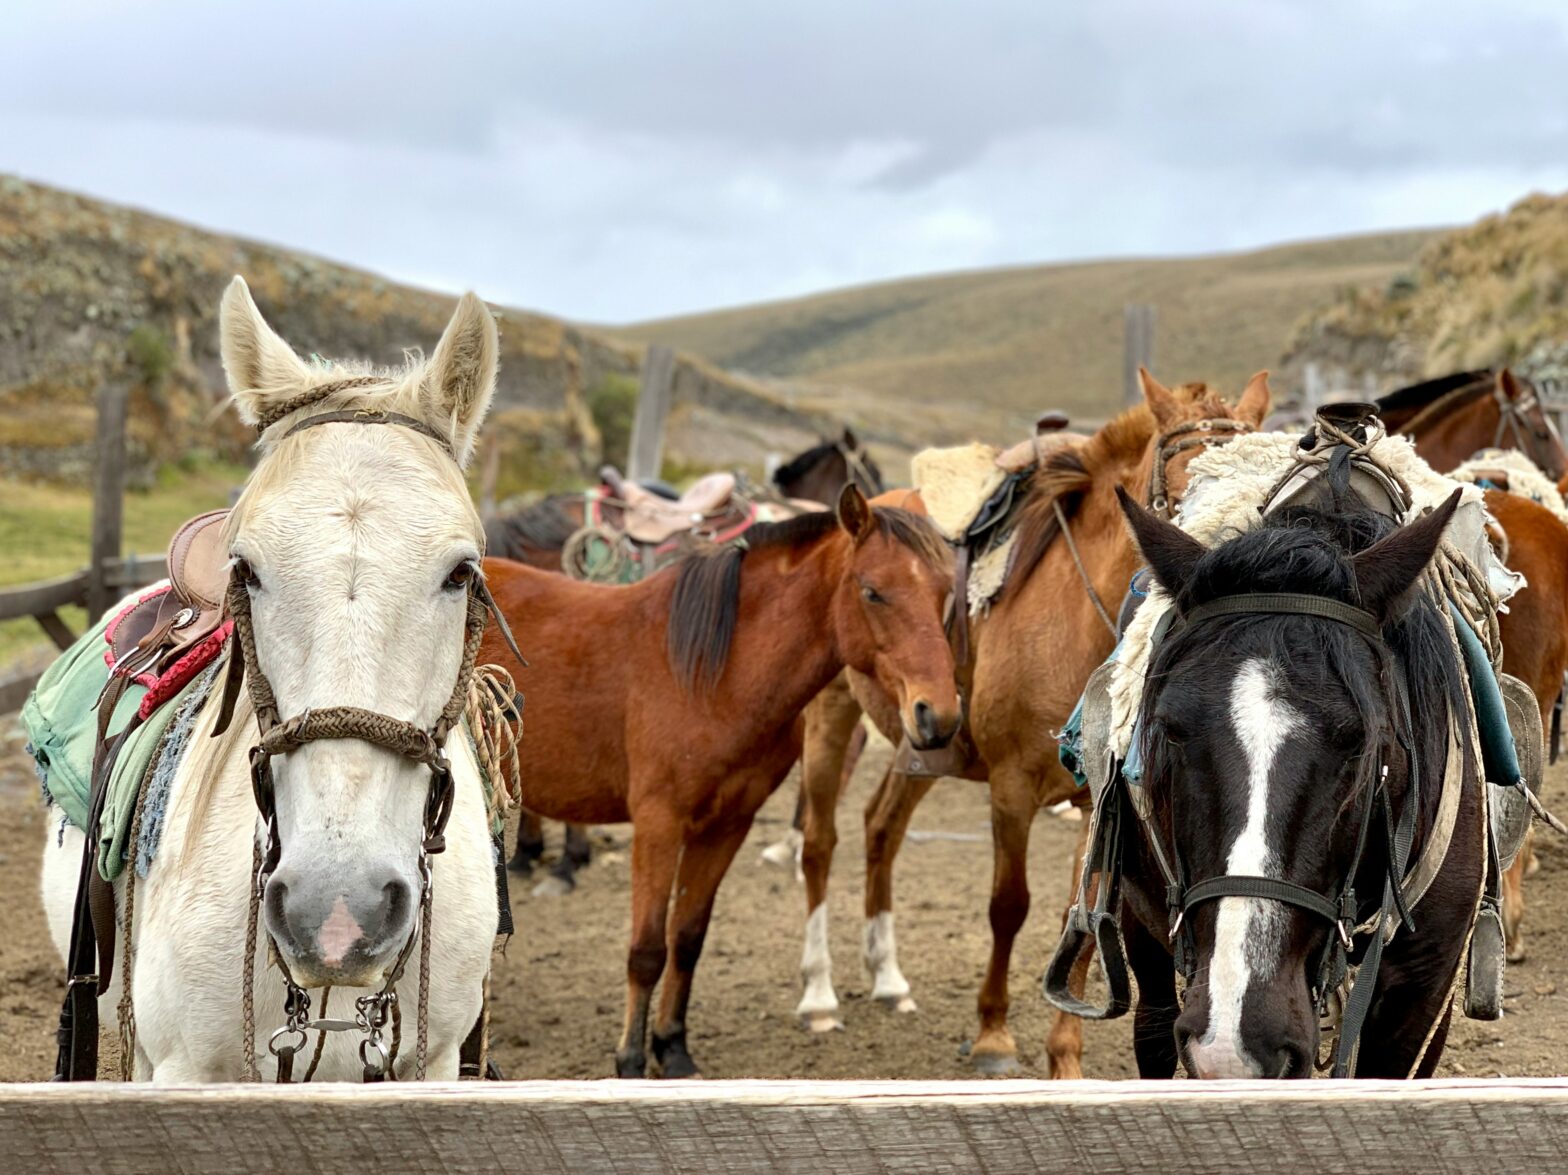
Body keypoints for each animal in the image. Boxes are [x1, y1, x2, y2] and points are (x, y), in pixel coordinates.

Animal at [476, 483, 953, 1073]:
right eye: (873, 592)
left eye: (945, 592)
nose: (938, 717)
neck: (713, 675)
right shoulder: (659, 826)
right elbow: (647, 950)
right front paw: (631, 1060)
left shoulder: (726, 827)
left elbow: (687, 939)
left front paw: (672, 1048)